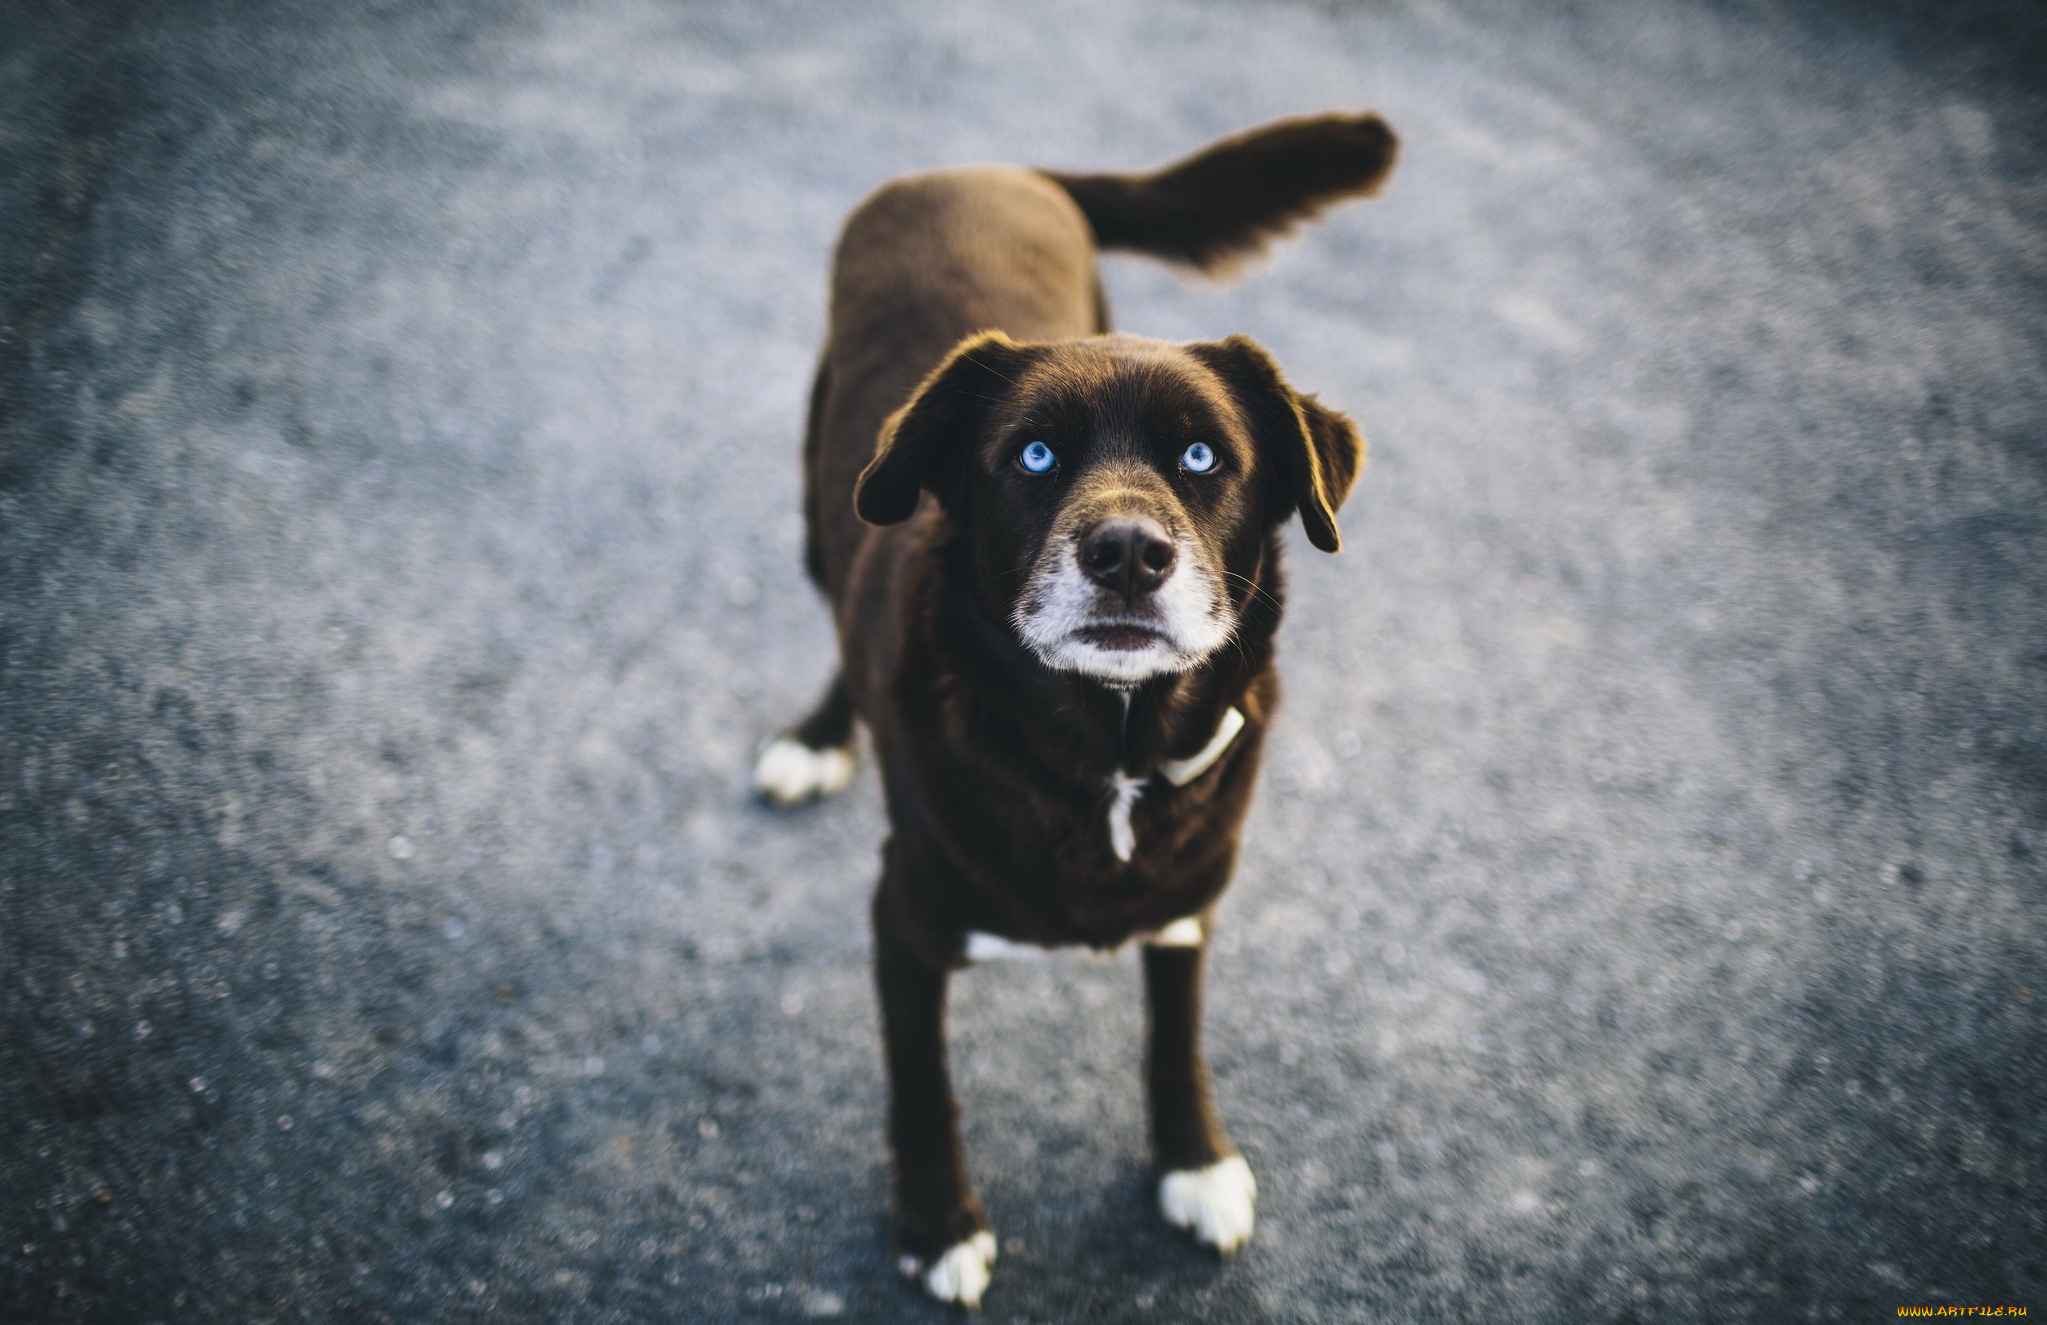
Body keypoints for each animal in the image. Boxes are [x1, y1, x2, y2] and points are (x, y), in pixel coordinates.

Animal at [761, 111, 1400, 1302]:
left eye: (1202, 455)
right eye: (1033, 453)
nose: (1127, 552)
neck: (1105, 748)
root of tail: (988, 166)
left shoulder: (1188, 900)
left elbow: (1174, 1036)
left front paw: (1194, 1160)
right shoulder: (904, 919)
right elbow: (923, 1088)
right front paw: (938, 1222)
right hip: (824, 497)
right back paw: (818, 737)